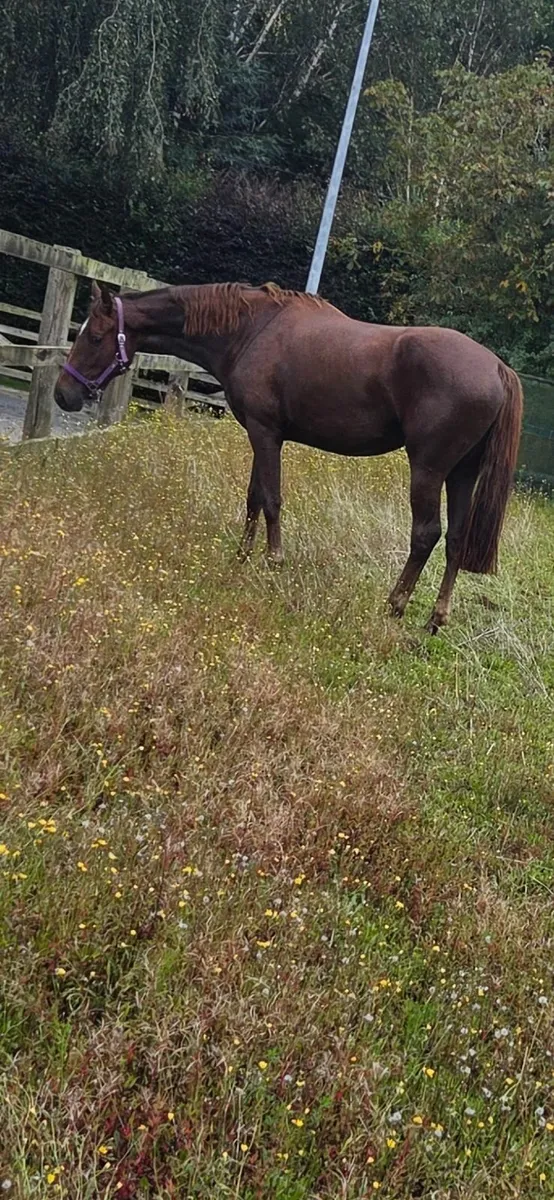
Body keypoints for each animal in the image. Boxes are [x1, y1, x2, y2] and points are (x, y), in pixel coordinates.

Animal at [54, 280, 523, 632]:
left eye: (94, 336)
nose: (64, 394)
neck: (253, 329)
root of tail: (497, 367)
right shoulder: (260, 435)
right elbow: (254, 498)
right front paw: (240, 558)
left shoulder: (266, 434)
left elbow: (272, 500)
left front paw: (273, 561)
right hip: (461, 474)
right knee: (457, 539)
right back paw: (435, 619)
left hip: (427, 470)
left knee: (426, 534)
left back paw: (394, 604)